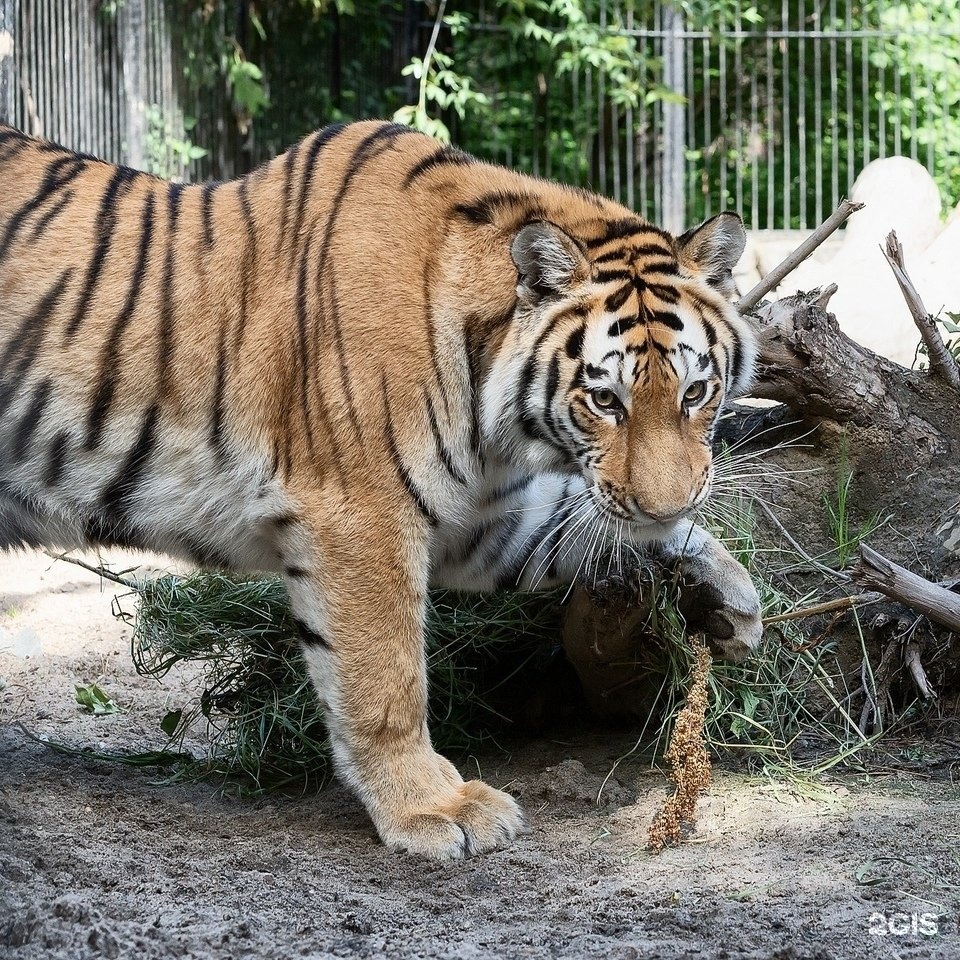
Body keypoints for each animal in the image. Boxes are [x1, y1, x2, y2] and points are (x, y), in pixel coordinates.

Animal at [1, 120, 764, 864]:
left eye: (695, 392)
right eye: (605, 400)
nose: (665, 505)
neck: (494, 415)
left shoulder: (474, 521)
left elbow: (571, 533)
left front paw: (730, 596)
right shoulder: (361, 514)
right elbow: (386, 677)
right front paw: (431, 807)